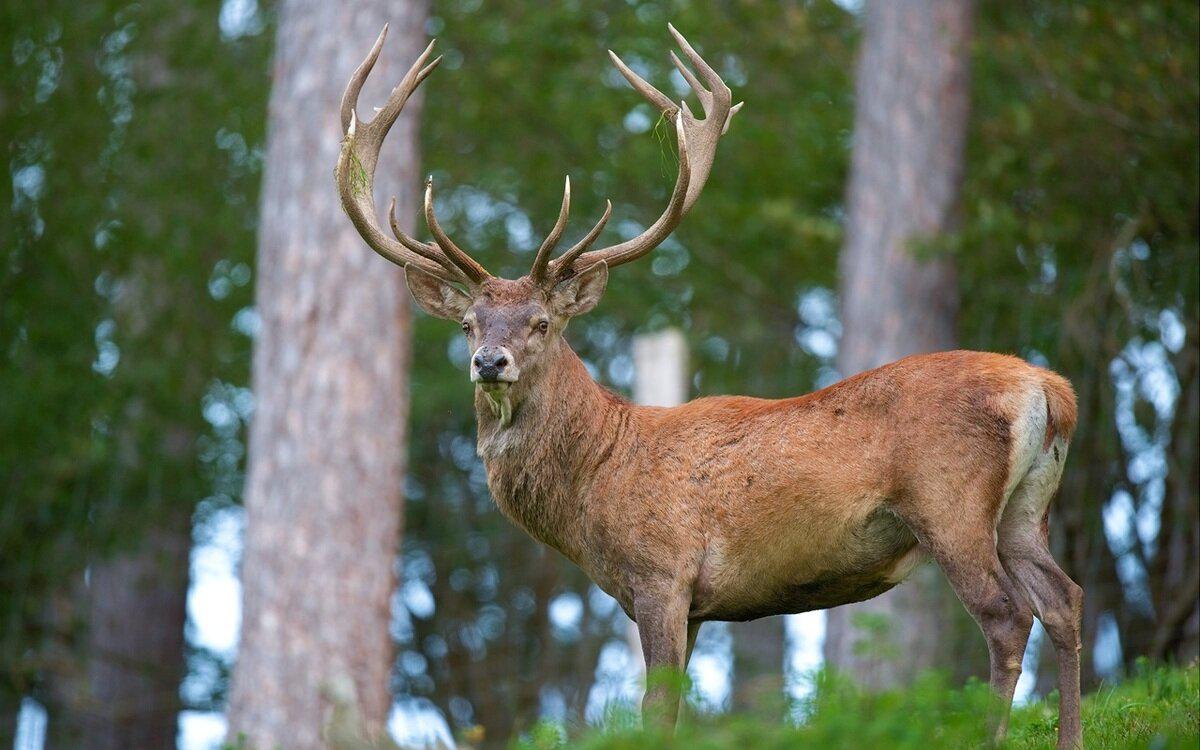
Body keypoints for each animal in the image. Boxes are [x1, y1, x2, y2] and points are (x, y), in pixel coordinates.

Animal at [333, 23, 1084, 748]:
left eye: (541, 322)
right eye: (468, 324)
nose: (491, 361)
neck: (597, 477)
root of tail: (1050, 388)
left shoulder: (661, 574)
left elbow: (655, 710)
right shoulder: (693, 604)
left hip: (950, 502)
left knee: (1007, 616)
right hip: (1024, 510)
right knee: (1064, 600)